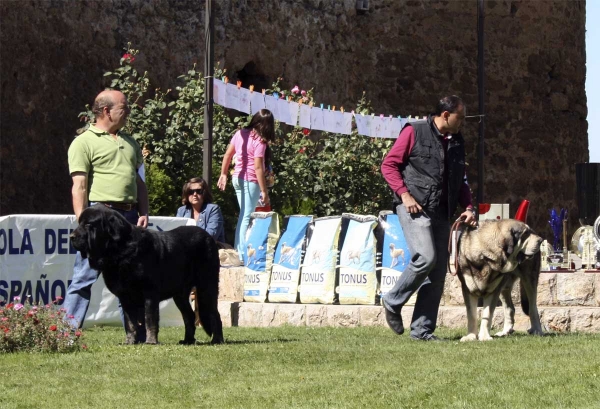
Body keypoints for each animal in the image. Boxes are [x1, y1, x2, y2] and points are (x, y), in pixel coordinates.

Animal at [71, 204, 225, 344]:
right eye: (80, 223)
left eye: (89, 224)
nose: (72, 236)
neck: (120, 251)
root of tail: (209, 237)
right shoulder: (125, 296)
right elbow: (130, 322)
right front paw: (130, 341)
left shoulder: (149, 293)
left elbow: (149, 318)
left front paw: (150, 341)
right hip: (180, 295)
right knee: (189, 316)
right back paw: (188, 340)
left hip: (206, 287)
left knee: (214, 313)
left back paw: (217, 340)